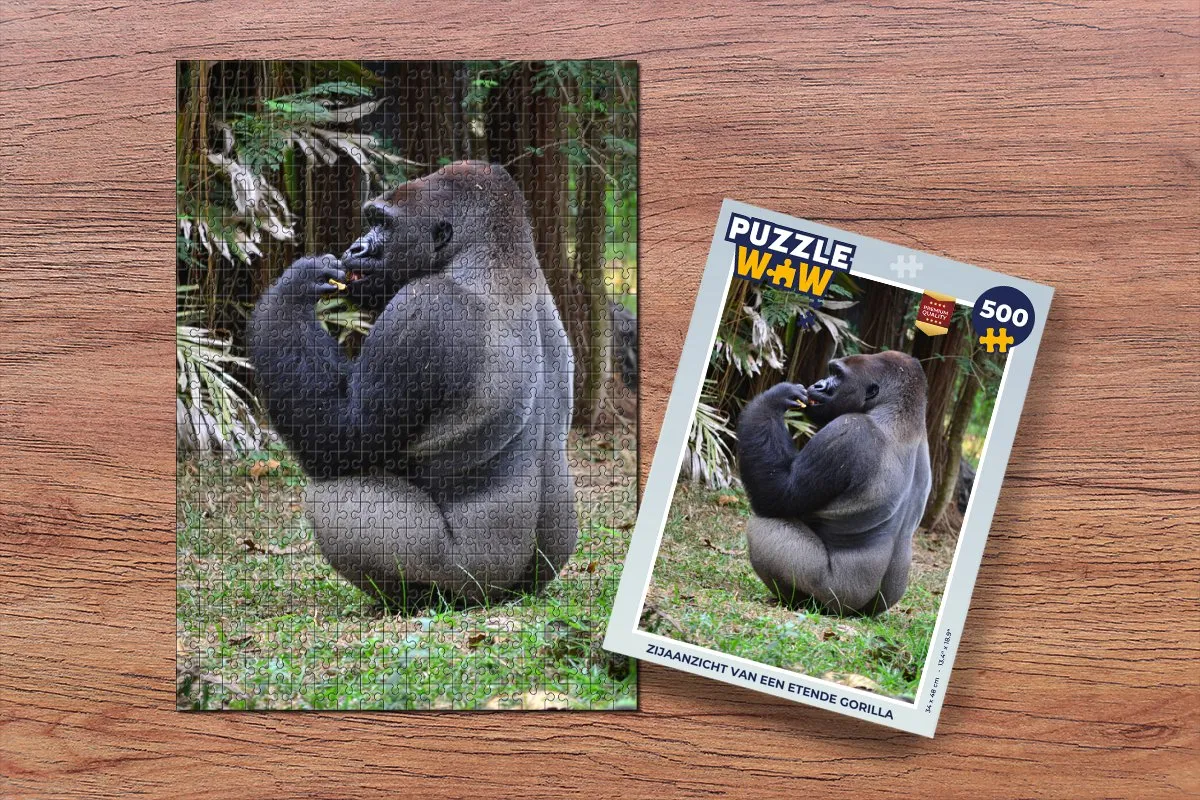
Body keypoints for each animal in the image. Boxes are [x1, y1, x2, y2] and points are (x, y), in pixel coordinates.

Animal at [248, 161, 578, 605]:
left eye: (384, 224)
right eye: (371, 220)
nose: (356, 248)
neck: (491, 259)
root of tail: (510, 594)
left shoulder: (422, 308)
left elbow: (342, 439)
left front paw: (293, 288)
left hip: (469, 583)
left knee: (332, 494)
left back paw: (408, 599)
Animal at [735, 351, 931, 615]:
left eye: (837, 374)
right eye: (831, 371)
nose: (818, 385)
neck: (900, 415)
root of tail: (857, 613)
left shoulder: (848, 431)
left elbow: (777, 495)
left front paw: (775, 398)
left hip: (835, 598)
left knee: (764, 526)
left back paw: (794, 601)